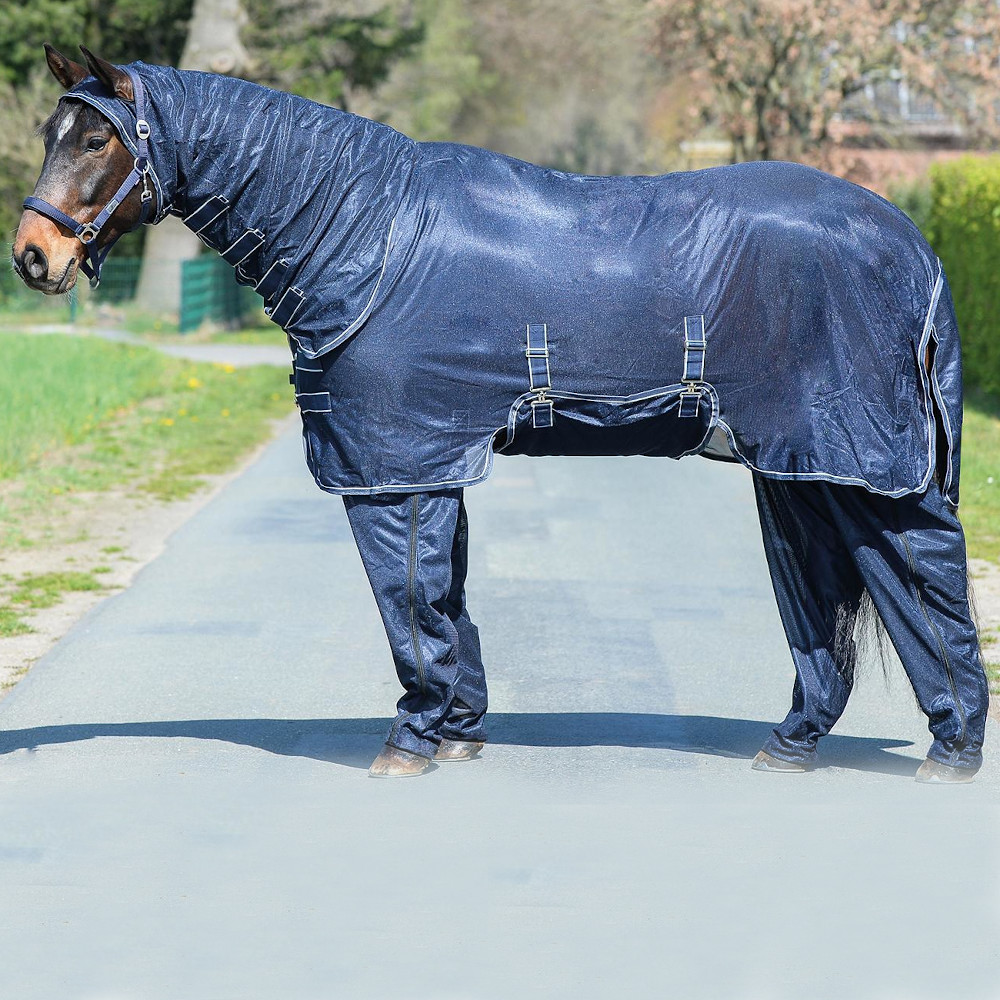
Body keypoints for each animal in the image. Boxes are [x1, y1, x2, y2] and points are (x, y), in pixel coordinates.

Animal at [13, 45, 989, 781]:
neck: (368, 236)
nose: (32, 256)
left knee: (925, 570)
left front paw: (410, 742)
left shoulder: (394, 472)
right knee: (825, 599)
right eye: (51, 132)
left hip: (863, 468)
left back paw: (953, 753)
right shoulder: (433, 462)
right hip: (798, 470)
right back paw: (792, 745)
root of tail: (913, 243)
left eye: (96, 138)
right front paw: (458, 733)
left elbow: (409, 605)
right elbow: (446, 599)